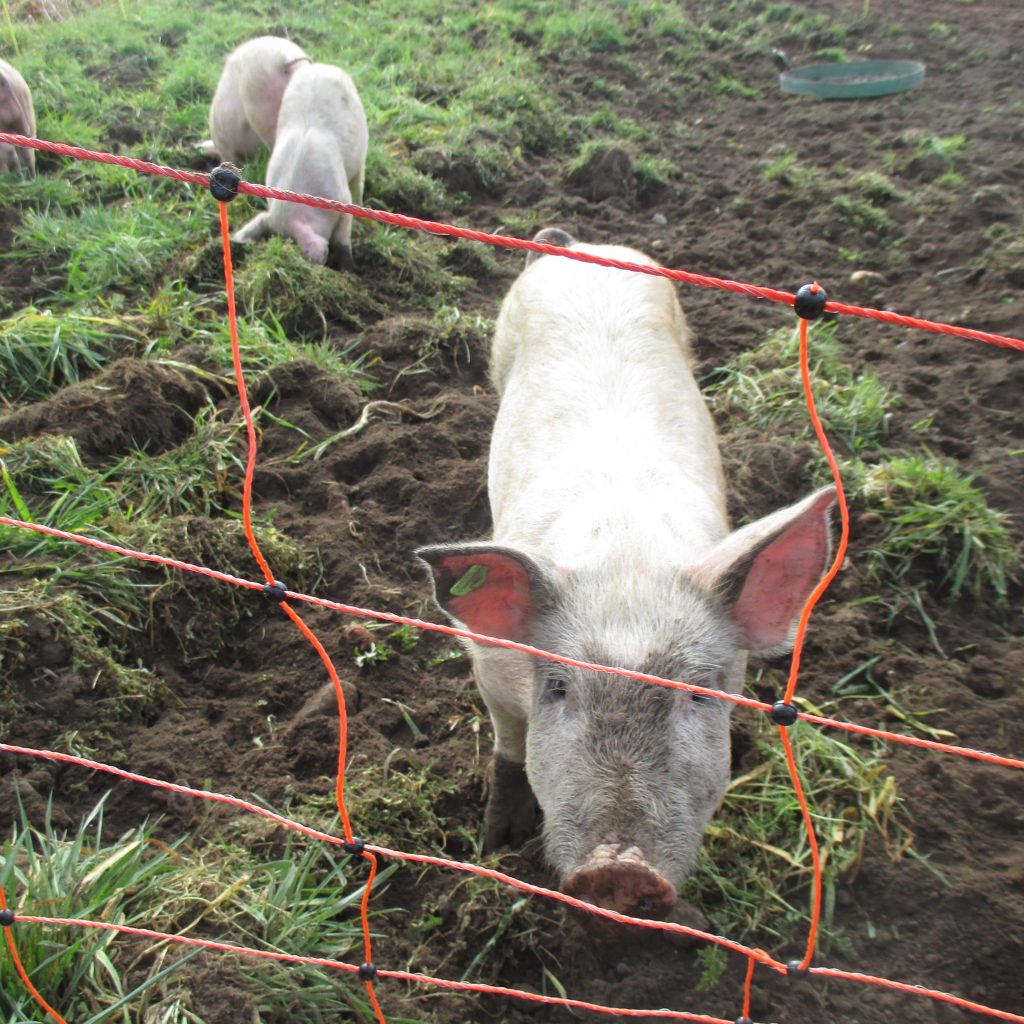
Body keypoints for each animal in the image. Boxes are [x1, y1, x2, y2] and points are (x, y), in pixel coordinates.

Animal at [419, 230, 835, 929]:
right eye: (559, 688)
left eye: (699, 694)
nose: (619, 868)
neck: (627, 560)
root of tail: (575, 244)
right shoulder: (489, 667)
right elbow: (510, 746)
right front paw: (498, 841)